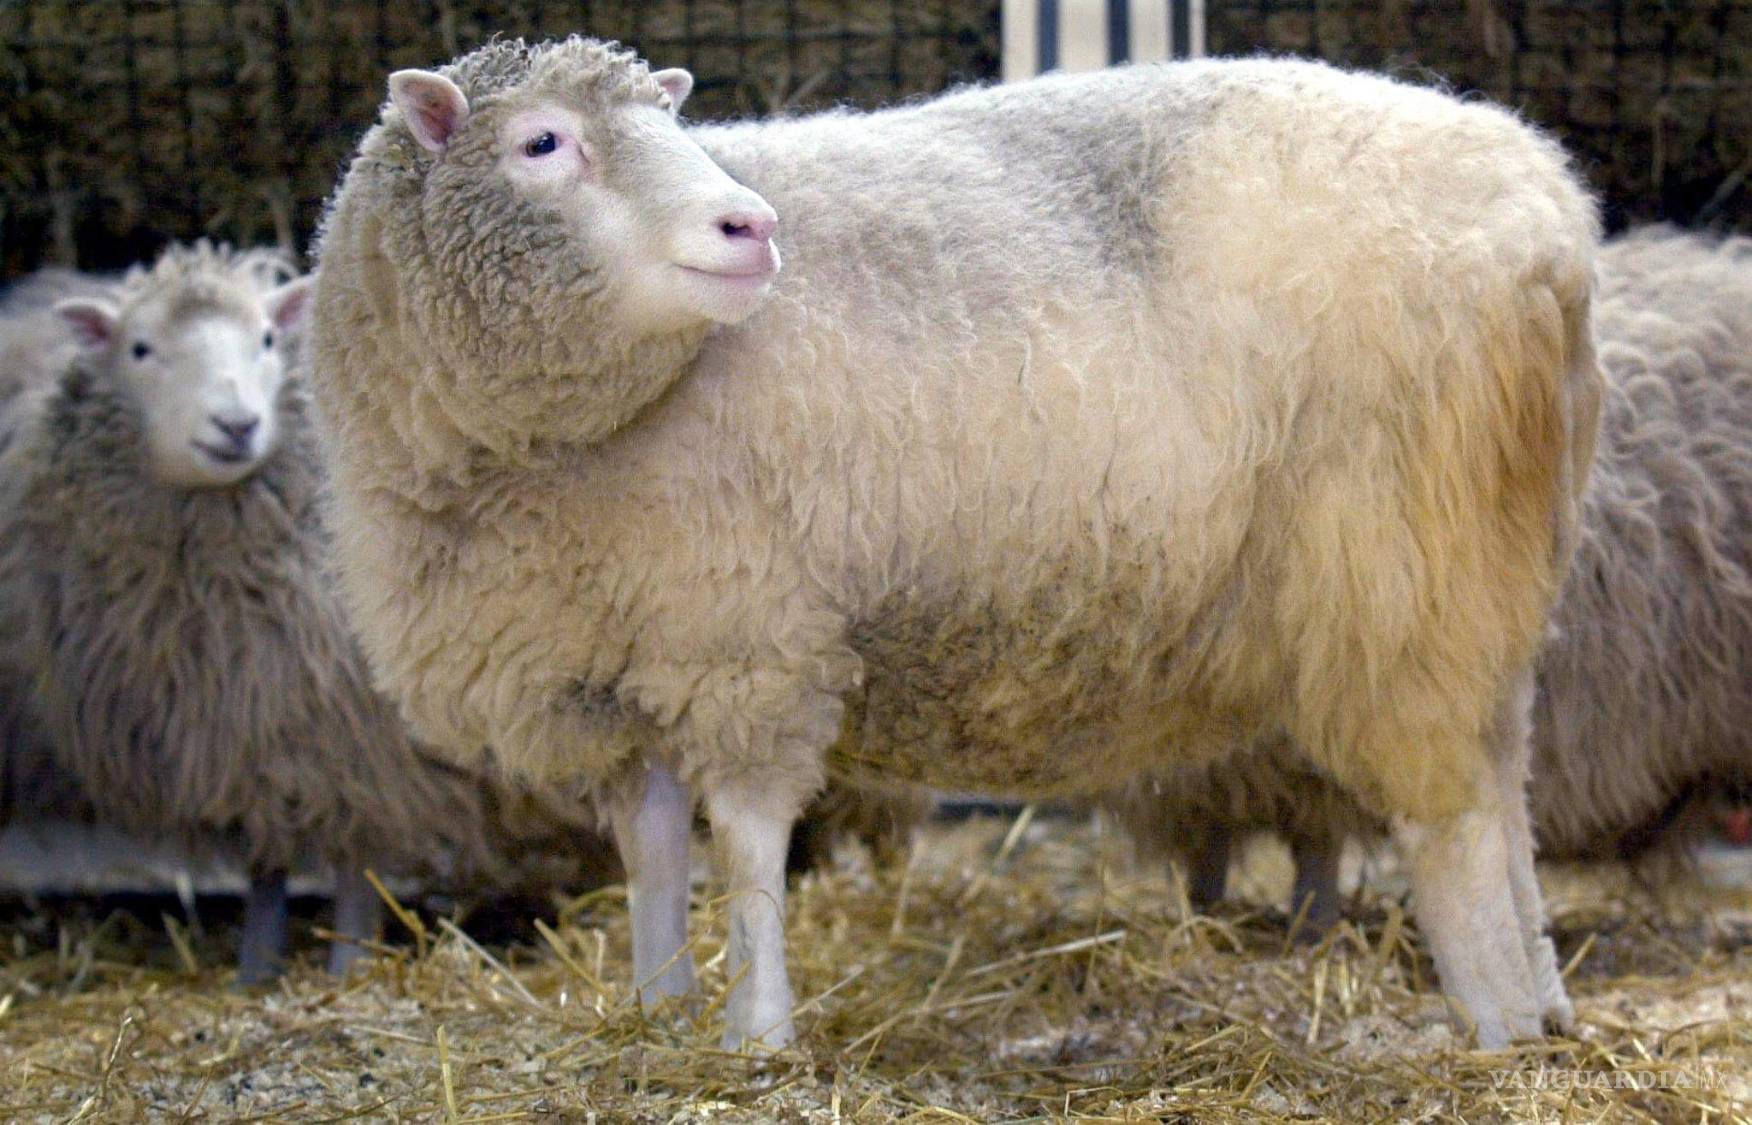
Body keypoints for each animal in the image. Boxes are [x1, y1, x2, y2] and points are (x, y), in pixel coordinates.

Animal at [307, 38, 1602, 1049]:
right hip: (1492, 553)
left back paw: (1493, 1019)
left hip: (1398, 557)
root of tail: (1550, 213)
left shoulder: (751, 638)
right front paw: (658, 1008)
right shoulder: (616, 661)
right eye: (541, 143)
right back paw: (1544, 1001)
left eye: (671, 124)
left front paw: (757, 1034)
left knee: (1452, 809)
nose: (752, 226)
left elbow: (753, 849)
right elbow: (656, 855)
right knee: (1506, 778)